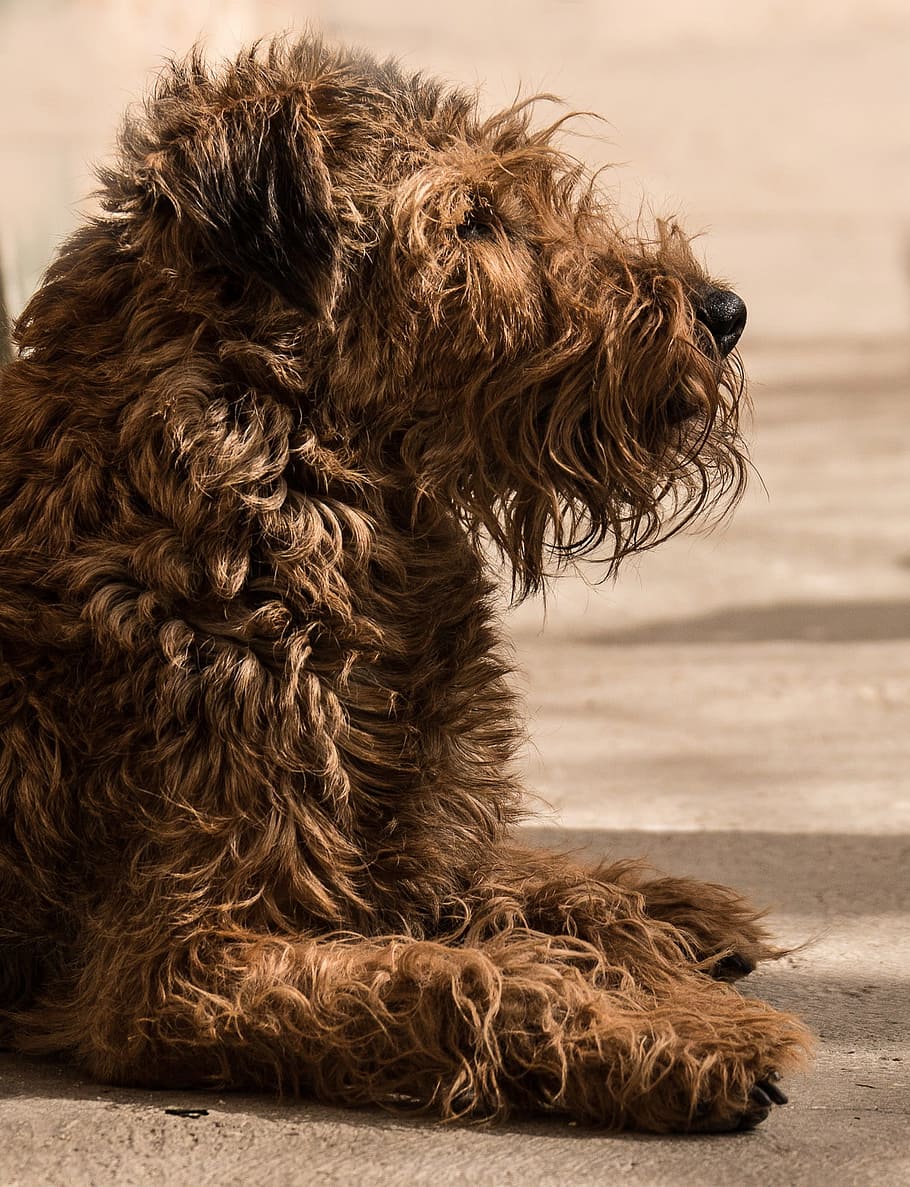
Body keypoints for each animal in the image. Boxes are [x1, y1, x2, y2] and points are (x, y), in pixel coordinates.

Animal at [0, 34, 811, 1130]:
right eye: (473, 219)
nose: (723, 312)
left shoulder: (417, 845)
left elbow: (527, 884)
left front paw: (663, 913)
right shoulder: (178, 969)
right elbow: (451, 977)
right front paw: (686, 1036)